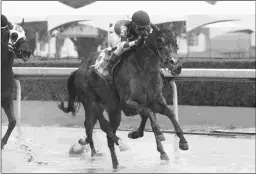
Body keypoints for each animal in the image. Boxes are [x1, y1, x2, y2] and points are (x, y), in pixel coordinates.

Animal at [59, 26, 188, 169]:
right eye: (160, 40)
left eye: (176, 43)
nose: (176, 65)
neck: (144, 69)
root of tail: (79, 68)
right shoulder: (127, 104)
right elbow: (148, 113)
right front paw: (157, 134)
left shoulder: (155, 101)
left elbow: (170, 113)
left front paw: (182, 142)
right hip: (92, 102)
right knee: (103, 127)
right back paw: (120, 145)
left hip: (111, 109)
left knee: (95, 128)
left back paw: (112, 162)